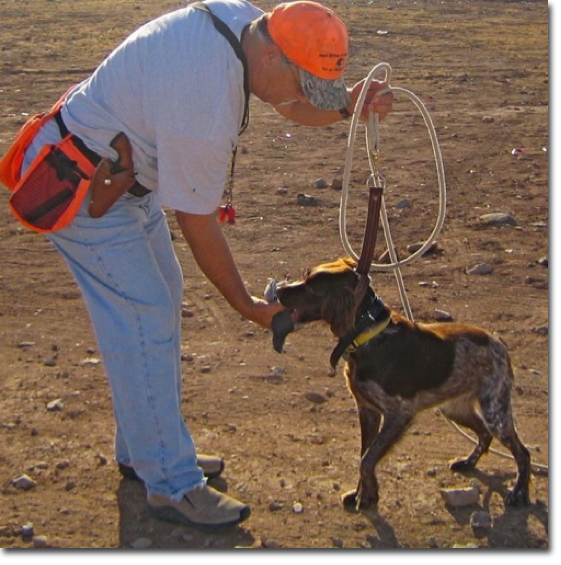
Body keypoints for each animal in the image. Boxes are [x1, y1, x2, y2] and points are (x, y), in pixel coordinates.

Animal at [276, 258, 528, 508]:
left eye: (311, 287)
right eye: (305, 275)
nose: (278, 290)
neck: (369, 335)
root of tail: (499, 343)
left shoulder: (398, 414)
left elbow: (367, 459)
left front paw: (367, 496)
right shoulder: (367, 410)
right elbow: (364, 454)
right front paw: (361, 493)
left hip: (495, 412)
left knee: (522, 452)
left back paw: (519, 492)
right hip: (454, 409)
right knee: (484, 434)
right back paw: (468, 462)